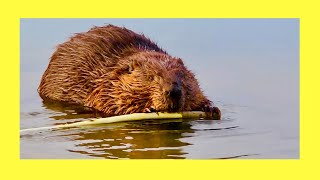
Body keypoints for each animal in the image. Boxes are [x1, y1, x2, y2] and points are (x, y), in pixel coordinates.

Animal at [37, 24, 221, 119]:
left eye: (181, 76)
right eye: (151, 77)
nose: (173, 91)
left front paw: (210, 108)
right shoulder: (103, 83)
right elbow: (107, 102)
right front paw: (147, 109)